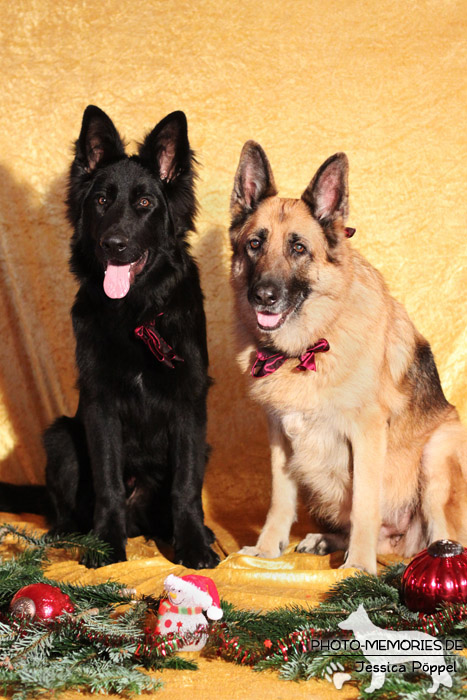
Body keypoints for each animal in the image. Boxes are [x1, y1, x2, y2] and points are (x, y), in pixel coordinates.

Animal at [0, 108, 219, 568]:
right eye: (101, 201)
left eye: (144, 204)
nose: (113, 244)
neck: (135, 313)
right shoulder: (100, 405)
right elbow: (108, 481)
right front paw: (105, 545)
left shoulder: (189, 405)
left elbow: (186, 485)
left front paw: (193, 544)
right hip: (60, 436)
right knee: (66, 506)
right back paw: (68, 534)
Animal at [230, 144, 467, 576]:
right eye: (255, 244)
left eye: (298, 248)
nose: (264, 296)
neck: (309, 345)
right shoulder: (279, 434)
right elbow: (279, 499)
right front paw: (267, 549)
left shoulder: (367, 434)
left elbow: (363, 505)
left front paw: (357, 566)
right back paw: (327, 540)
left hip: (438, 452)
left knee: (444, 539)